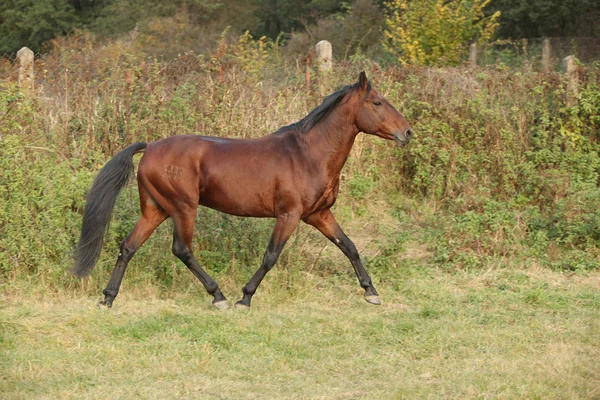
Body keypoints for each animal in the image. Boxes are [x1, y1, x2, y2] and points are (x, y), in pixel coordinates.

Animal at [72, 72, 412, 310]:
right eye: (377, 102)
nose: (407, 132)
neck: (308, 153)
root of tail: (151, 147)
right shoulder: (289, 215)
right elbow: (271, 256)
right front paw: (245, 298)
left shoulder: (319, 214)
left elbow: (349, 246)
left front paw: (371, 293)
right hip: (183, 208)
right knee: (182, 249)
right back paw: (218, 296)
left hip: (155, 209)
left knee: (129, 247)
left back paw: (108, 298)